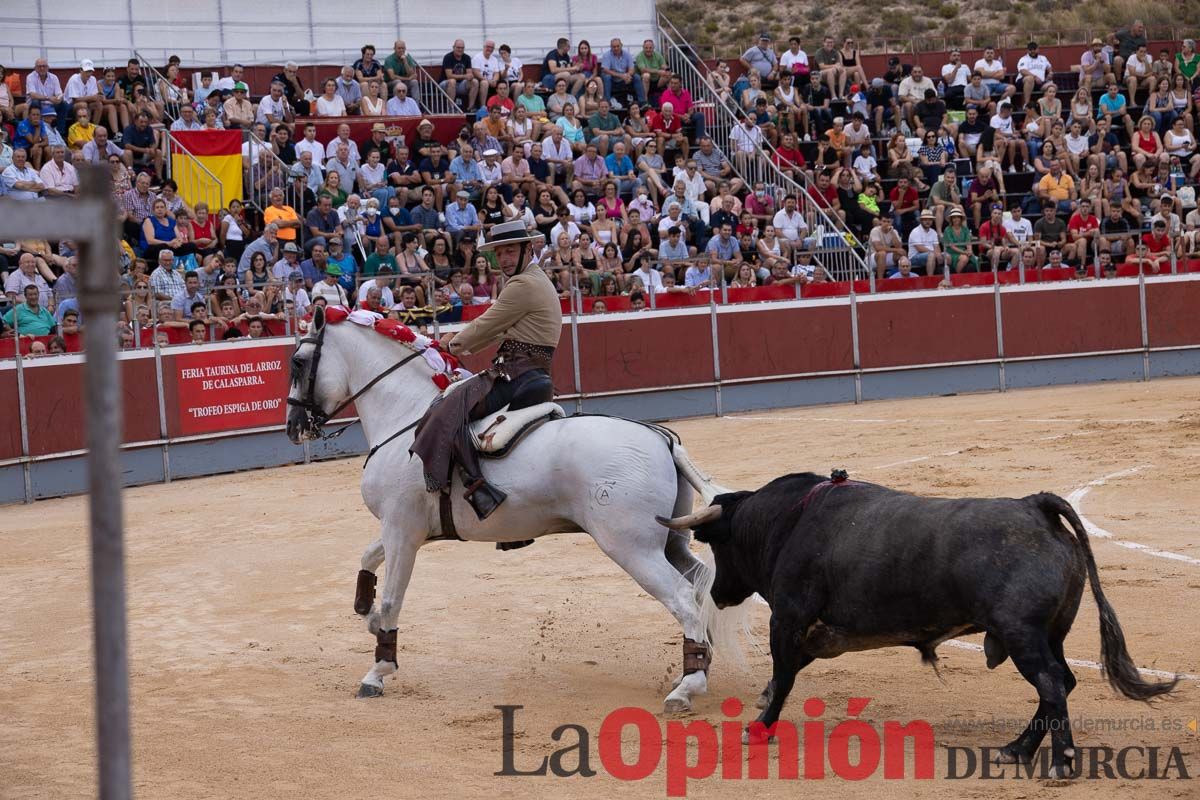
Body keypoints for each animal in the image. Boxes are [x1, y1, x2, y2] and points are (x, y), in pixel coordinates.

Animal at [288, 309, 729, 714]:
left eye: (297, 362)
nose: (293, 426)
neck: (405, 416)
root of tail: (660, 437)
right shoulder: (408, 530)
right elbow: (368, 561)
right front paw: (368, 614)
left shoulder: (402, 530)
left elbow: (395, 597)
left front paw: (377, 671)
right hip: (671, 543)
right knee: (702, 586)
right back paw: (699, 667)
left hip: (633, 548)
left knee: (683, 596)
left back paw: (686, 688)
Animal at [657, 472, 1171, 777]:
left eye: (718, 544)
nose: (718, 593)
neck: (787, 520)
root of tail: (1033, 505)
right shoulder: (817, 631)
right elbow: (788, 671)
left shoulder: (789, 617)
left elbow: (784, 675)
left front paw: (760, 727)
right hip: (1049, 633)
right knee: (1060, 682)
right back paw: (1017, 749)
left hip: (1022, 634)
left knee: (1050, 683)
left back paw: (1059, 763)